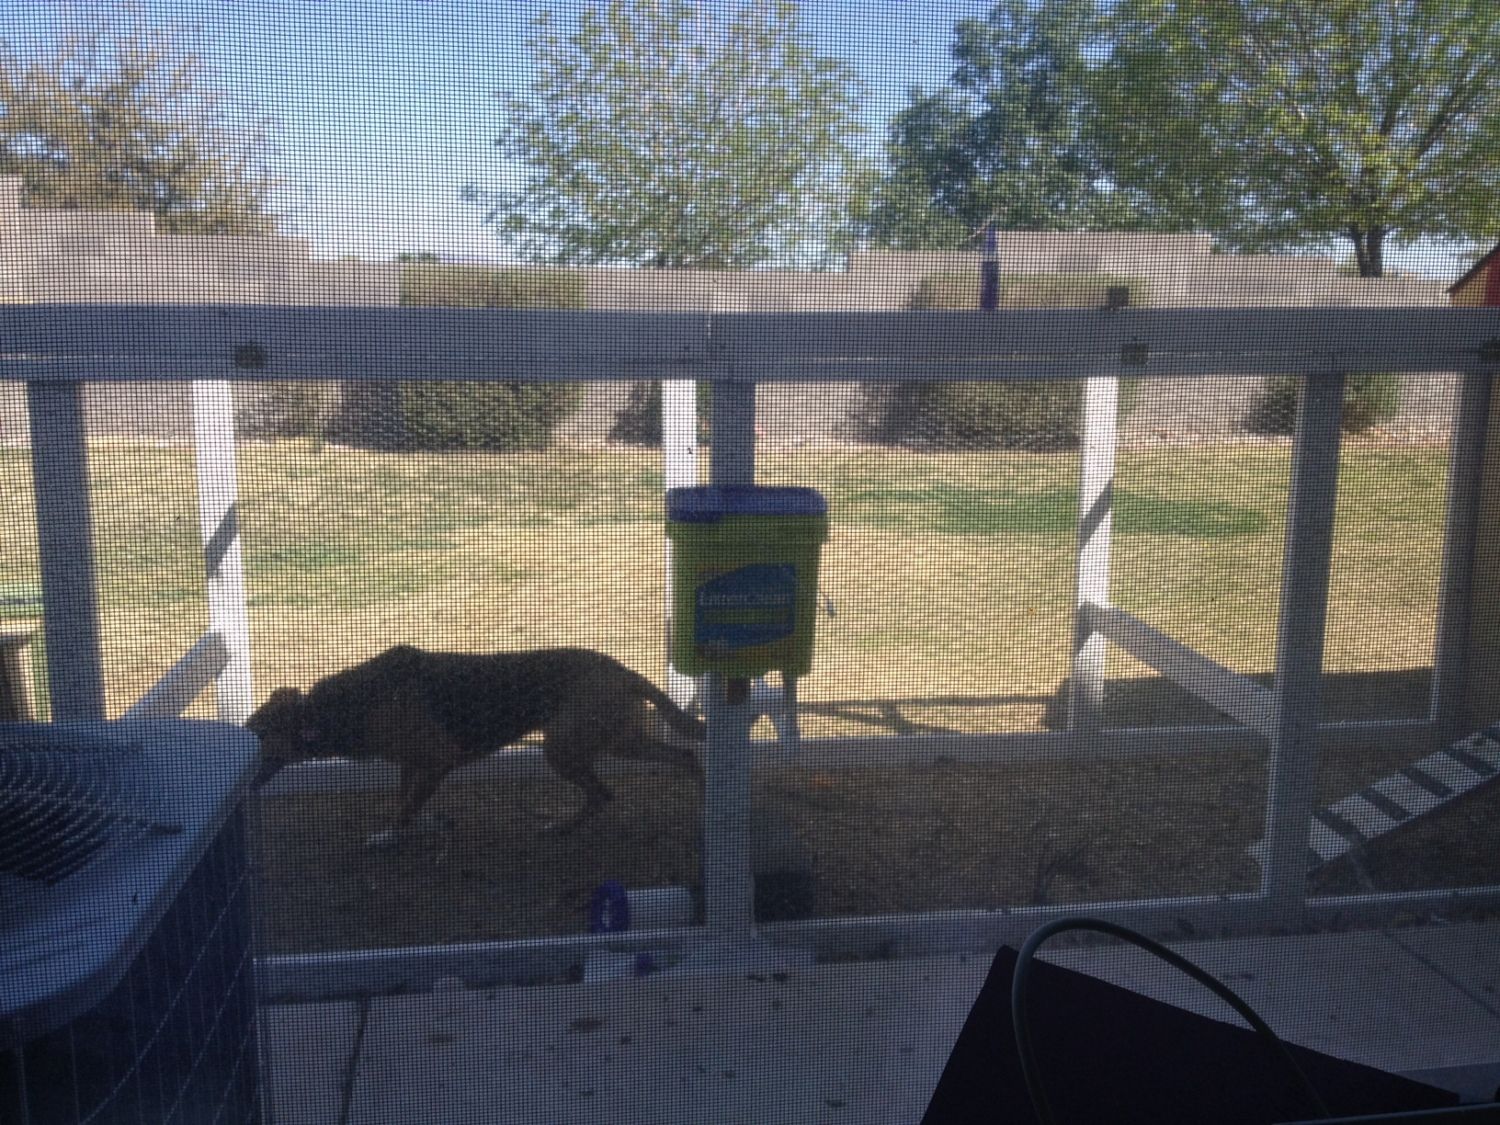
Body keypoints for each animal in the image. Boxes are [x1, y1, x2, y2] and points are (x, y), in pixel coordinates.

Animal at [246, 645, 704, 843]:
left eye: (256, 739)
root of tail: (624, 671)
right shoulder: (412, 764)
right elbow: (406, 801)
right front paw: (412, 825)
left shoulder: (436, 761)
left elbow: (407, 809)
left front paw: (391, 835)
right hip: (615, 740)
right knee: (681, 757)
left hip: (562, 748)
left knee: (604, 792)